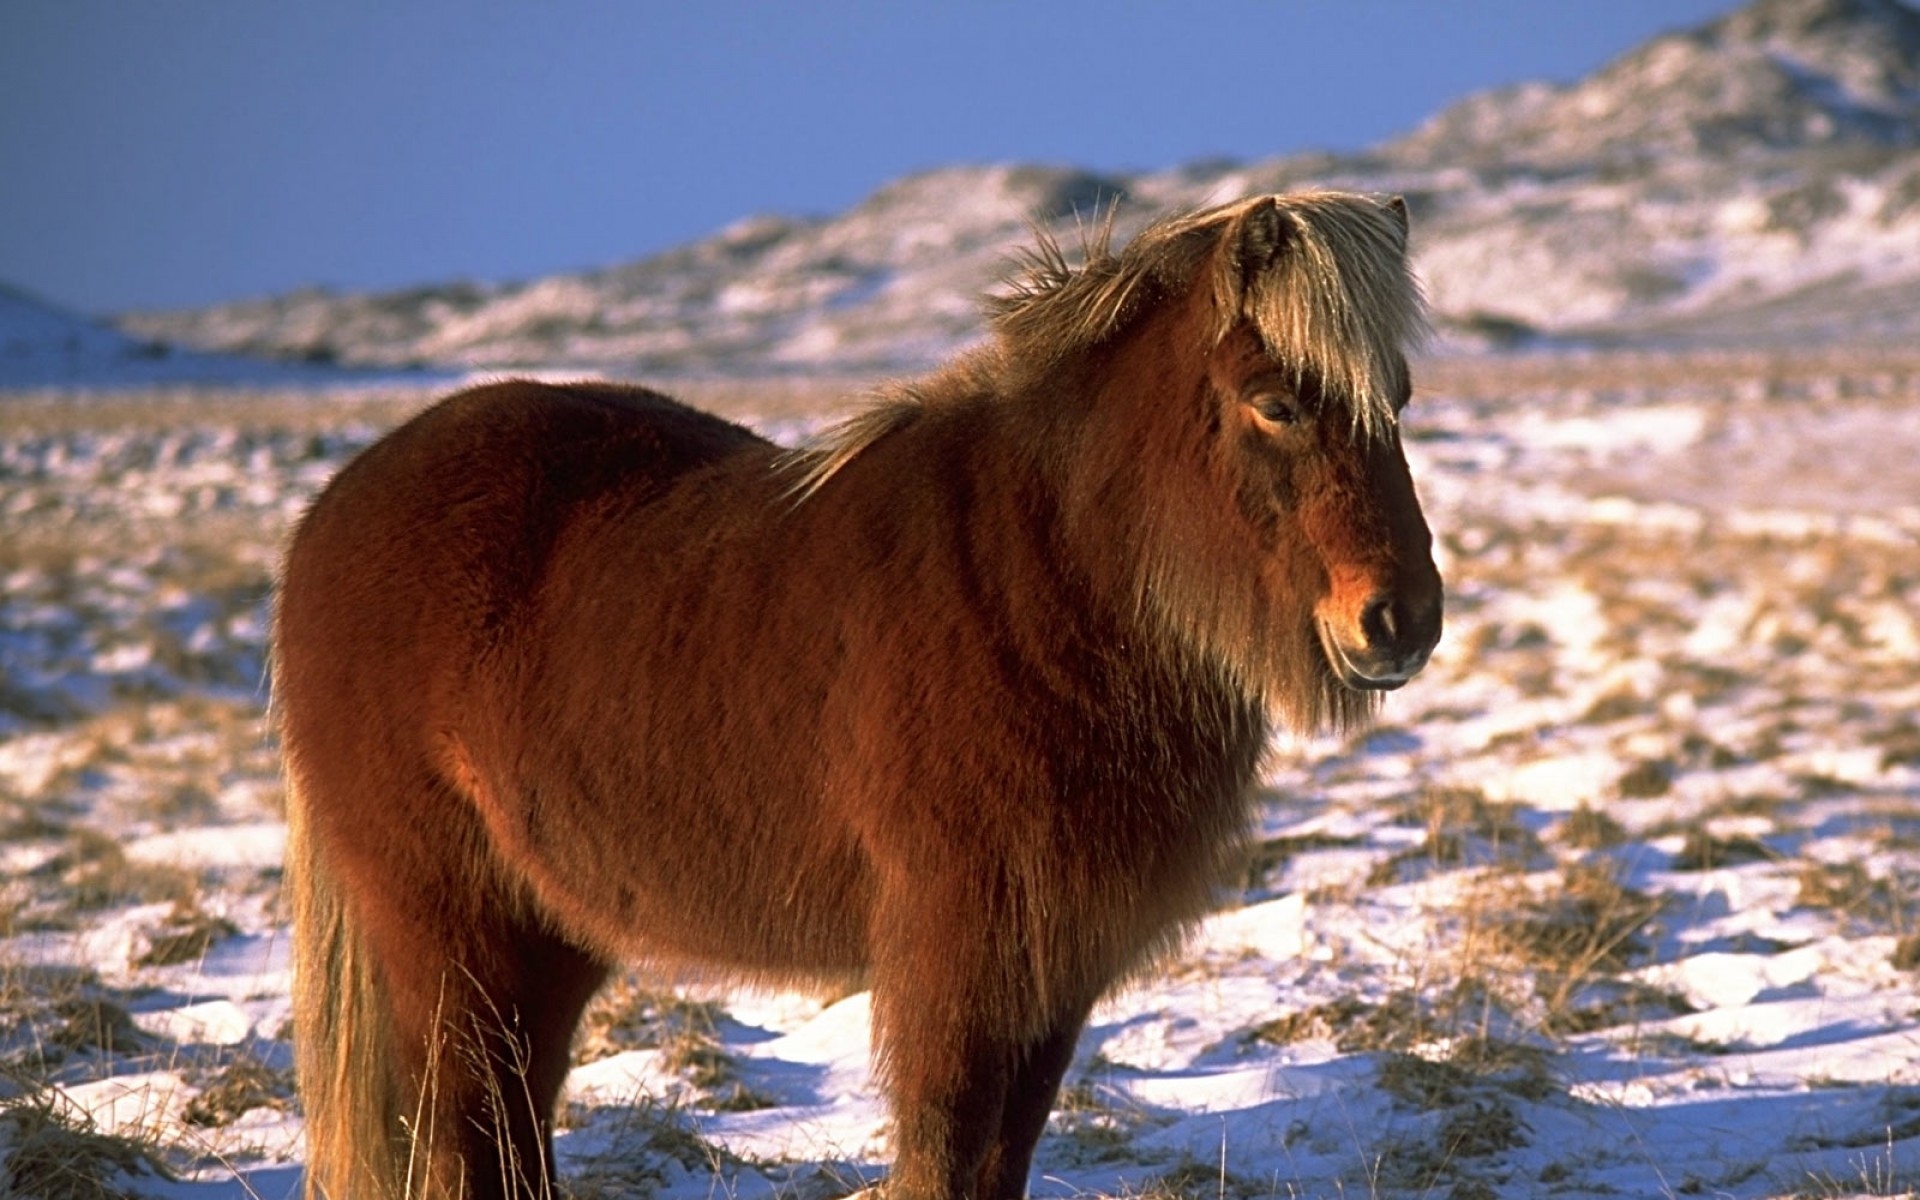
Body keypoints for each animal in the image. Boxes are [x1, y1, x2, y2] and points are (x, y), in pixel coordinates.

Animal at [274, 190, 1442, 1200]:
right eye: (1277, 402)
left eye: (1398, 400)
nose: (1403, 621)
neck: (1044, 580)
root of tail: (336, 506)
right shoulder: (957, 964)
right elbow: (944, 1154)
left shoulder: (1051, 973)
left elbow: (1000, 1161)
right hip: (448, 929)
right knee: (470, 1126)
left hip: (545, 932)